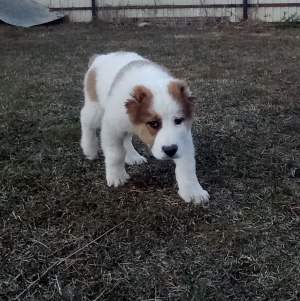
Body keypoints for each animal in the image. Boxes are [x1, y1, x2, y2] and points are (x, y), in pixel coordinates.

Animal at [81, 51, 210, 203]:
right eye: (153, 124)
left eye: (178, 120)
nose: (170, 150)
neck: (152, 81)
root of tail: (100, 57)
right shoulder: (111, 127)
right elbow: (116, 154)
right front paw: (117, 176)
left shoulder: (182, 135)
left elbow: (187, 165)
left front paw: (193, 191)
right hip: (95, 108)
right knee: (85, 119)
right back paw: (89, 149)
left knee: (126, 139)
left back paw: (132, 156)